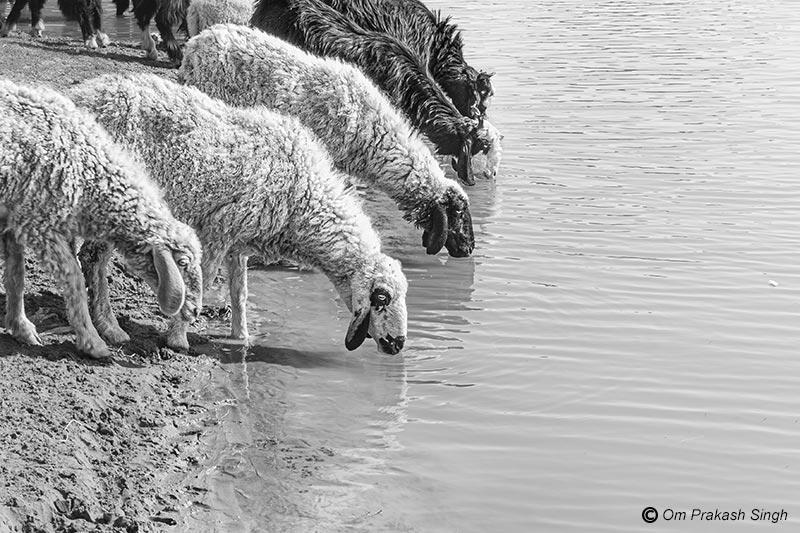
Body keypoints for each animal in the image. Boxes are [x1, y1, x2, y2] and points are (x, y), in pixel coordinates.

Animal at [0, 79, 204, 359]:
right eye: (182, 263)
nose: (196, 311)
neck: (89, 176)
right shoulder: (41, 226)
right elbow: (74, 280)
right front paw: (92, 342)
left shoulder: (16, 219)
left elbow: (16, 276)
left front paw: (21, 328)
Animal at [69, 73, 409, 355]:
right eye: (381, 298)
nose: (398, 344)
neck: (303, 198)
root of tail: (81, 95)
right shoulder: (218, 229)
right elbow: (205, 279)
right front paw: (177, 338)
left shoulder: (240, 238)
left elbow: (240, 292)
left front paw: (241, 336)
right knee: (94, 259)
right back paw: (110, 328)